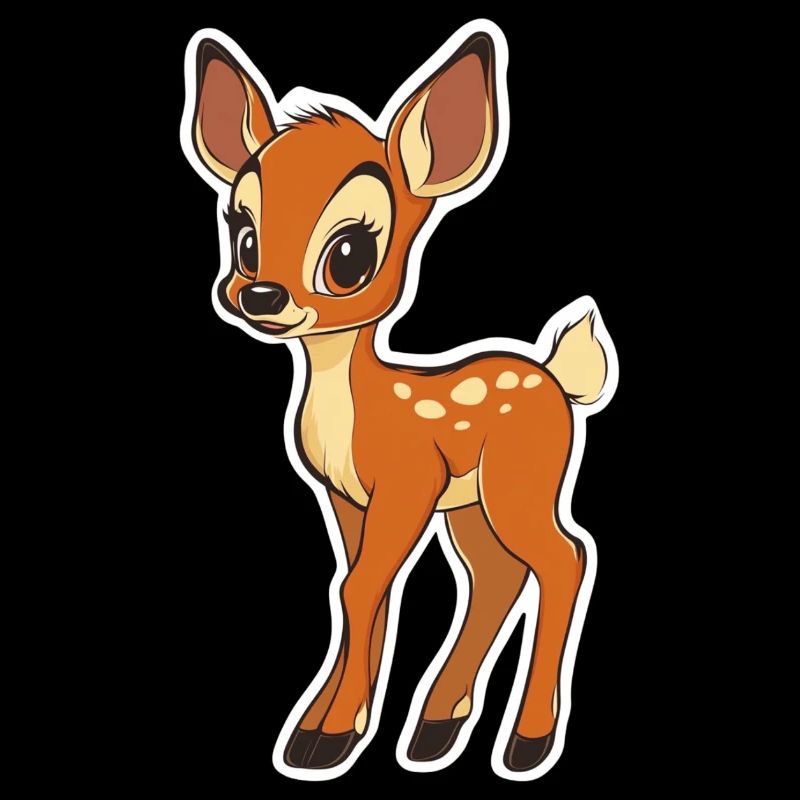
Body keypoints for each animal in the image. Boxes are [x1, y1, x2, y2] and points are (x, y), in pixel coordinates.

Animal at [181, 21, 617, 781]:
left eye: (350, 254)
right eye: (243, 236)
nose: (258, 295)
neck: (355, 409)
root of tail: (556, 378)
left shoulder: (407, 483)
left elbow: (362, 588)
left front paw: (328, 738)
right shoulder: (346, 497)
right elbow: (357, 590)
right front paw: (321, 731)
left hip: (521, 483)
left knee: (565, 558)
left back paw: (527, 742)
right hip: (472, 504)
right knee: (496, 576)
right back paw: (436, 729)